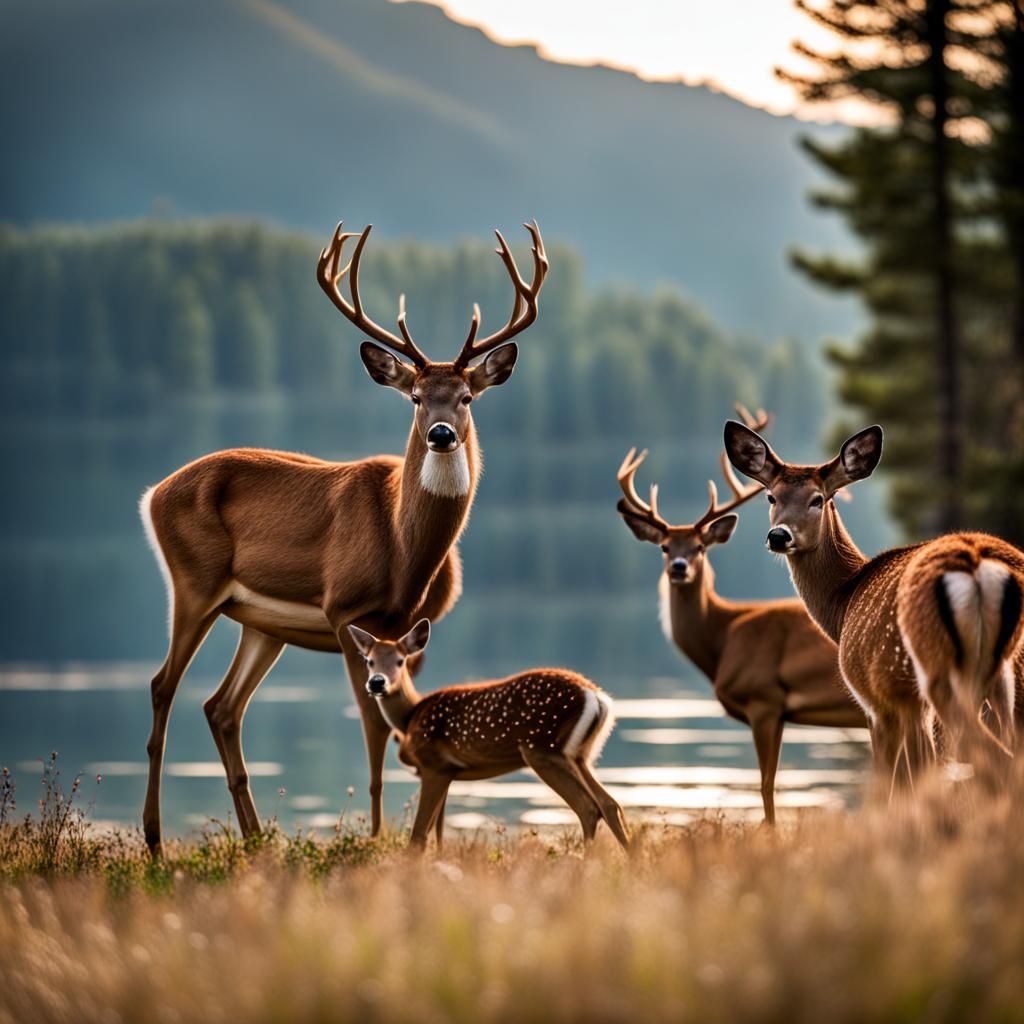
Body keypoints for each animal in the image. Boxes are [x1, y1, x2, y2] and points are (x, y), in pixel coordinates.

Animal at [139, 219, 548, 855]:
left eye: (466, 397)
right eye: (415, 396)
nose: (440, 433)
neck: (404, 552)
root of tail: (153, 492)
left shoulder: (409, 629)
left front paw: (428, 839)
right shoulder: (346, 610)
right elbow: (373, 733)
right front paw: (379, 839)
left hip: (260, 622)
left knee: (222, 706)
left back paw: (257, 840)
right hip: (194, 582)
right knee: (163, 686)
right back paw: (156, 839)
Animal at [346, 618, 631, 852]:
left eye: (400, 660)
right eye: (369, 661)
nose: (377, 682)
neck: (410, 716)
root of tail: (597, 697)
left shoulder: (434, 765)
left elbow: (418, 836)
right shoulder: (447, 771)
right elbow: (437, 833)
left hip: (541, 749)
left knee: (588, 808)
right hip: (580, 756)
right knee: (609, 805)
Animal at [615, 409, 866, 824]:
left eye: (700, 547)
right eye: (665, 547)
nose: (679, 568)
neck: (723, 637)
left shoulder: (764, 698)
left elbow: (765, 786)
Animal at [723, 420, 1024, 796]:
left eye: (817, 499)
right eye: (771, 496)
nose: (779, 536)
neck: (844, 600)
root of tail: (976, 563)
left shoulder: (878, 700)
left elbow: (894, 787)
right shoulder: (909, 705)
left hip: (937, 674)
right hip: (1000, 677)